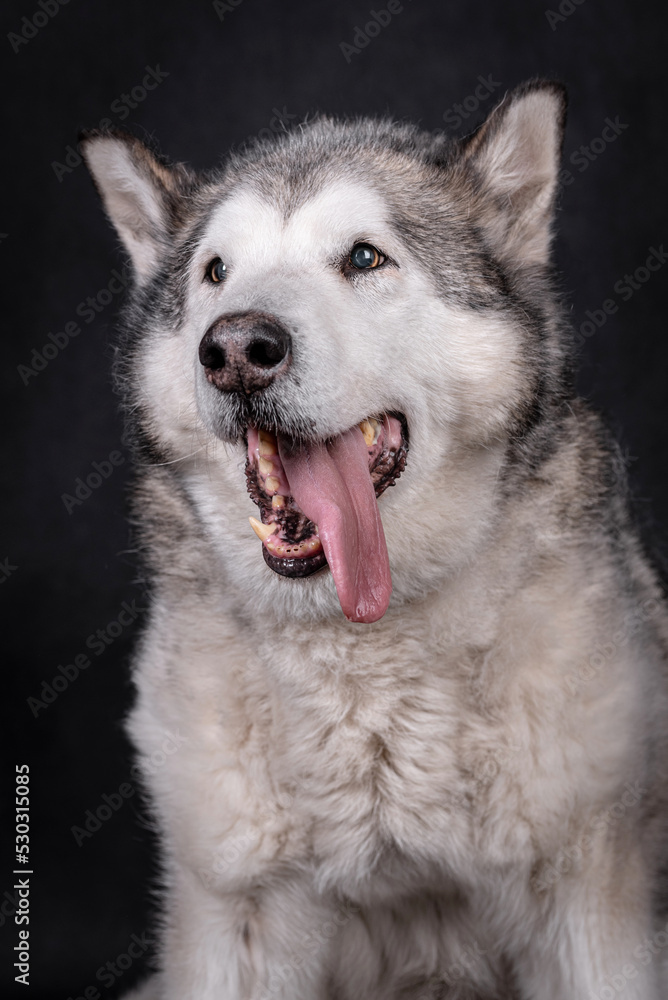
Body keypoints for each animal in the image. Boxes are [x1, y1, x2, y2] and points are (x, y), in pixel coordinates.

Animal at [81, 80, 668, 1000]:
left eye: (363, 259)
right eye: (217, 272)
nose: (237, 348)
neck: (362, 657)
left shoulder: (589, 903)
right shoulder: (236, 912)